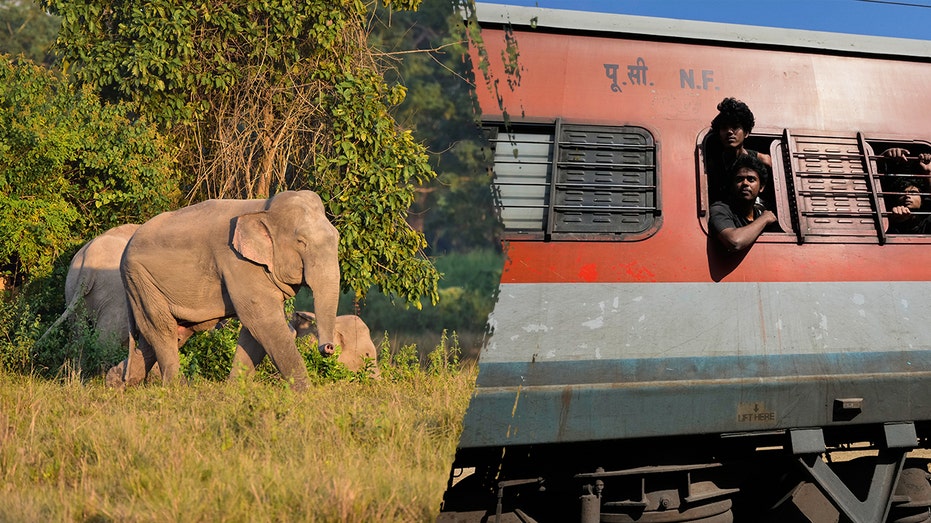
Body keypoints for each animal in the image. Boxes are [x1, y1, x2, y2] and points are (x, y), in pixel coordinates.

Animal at [113, 190, 340, 392]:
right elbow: (263, 320)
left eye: (337, 237)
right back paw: (176, 388)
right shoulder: (238, 262)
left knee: (159, 337)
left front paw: (234, 390)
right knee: (162, 329)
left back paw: (118, 382)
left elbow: (253, 330)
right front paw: (306, 394)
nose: (328, 348)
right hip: (141, 280)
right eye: (301, 242)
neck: (264, 209)